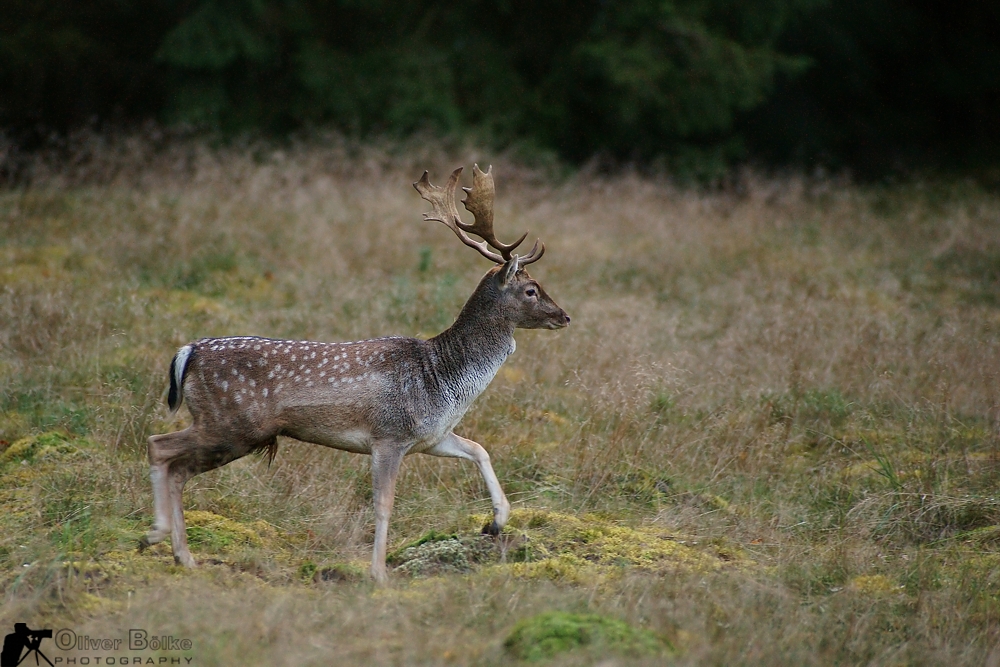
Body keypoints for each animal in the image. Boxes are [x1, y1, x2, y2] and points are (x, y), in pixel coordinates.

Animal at [141, 166, 572, 584]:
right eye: (532, 290)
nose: (565, 316)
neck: (443, 377)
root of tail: (188, 352)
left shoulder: (431, 437)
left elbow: (480, 449)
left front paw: (496, 522)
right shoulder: (389, 435)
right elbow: (384, 504)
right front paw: (378, 573)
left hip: (230, 427)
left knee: (175, 466)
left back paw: (182, 556)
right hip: (232, 422)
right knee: (160, 446)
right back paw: (158, 535)